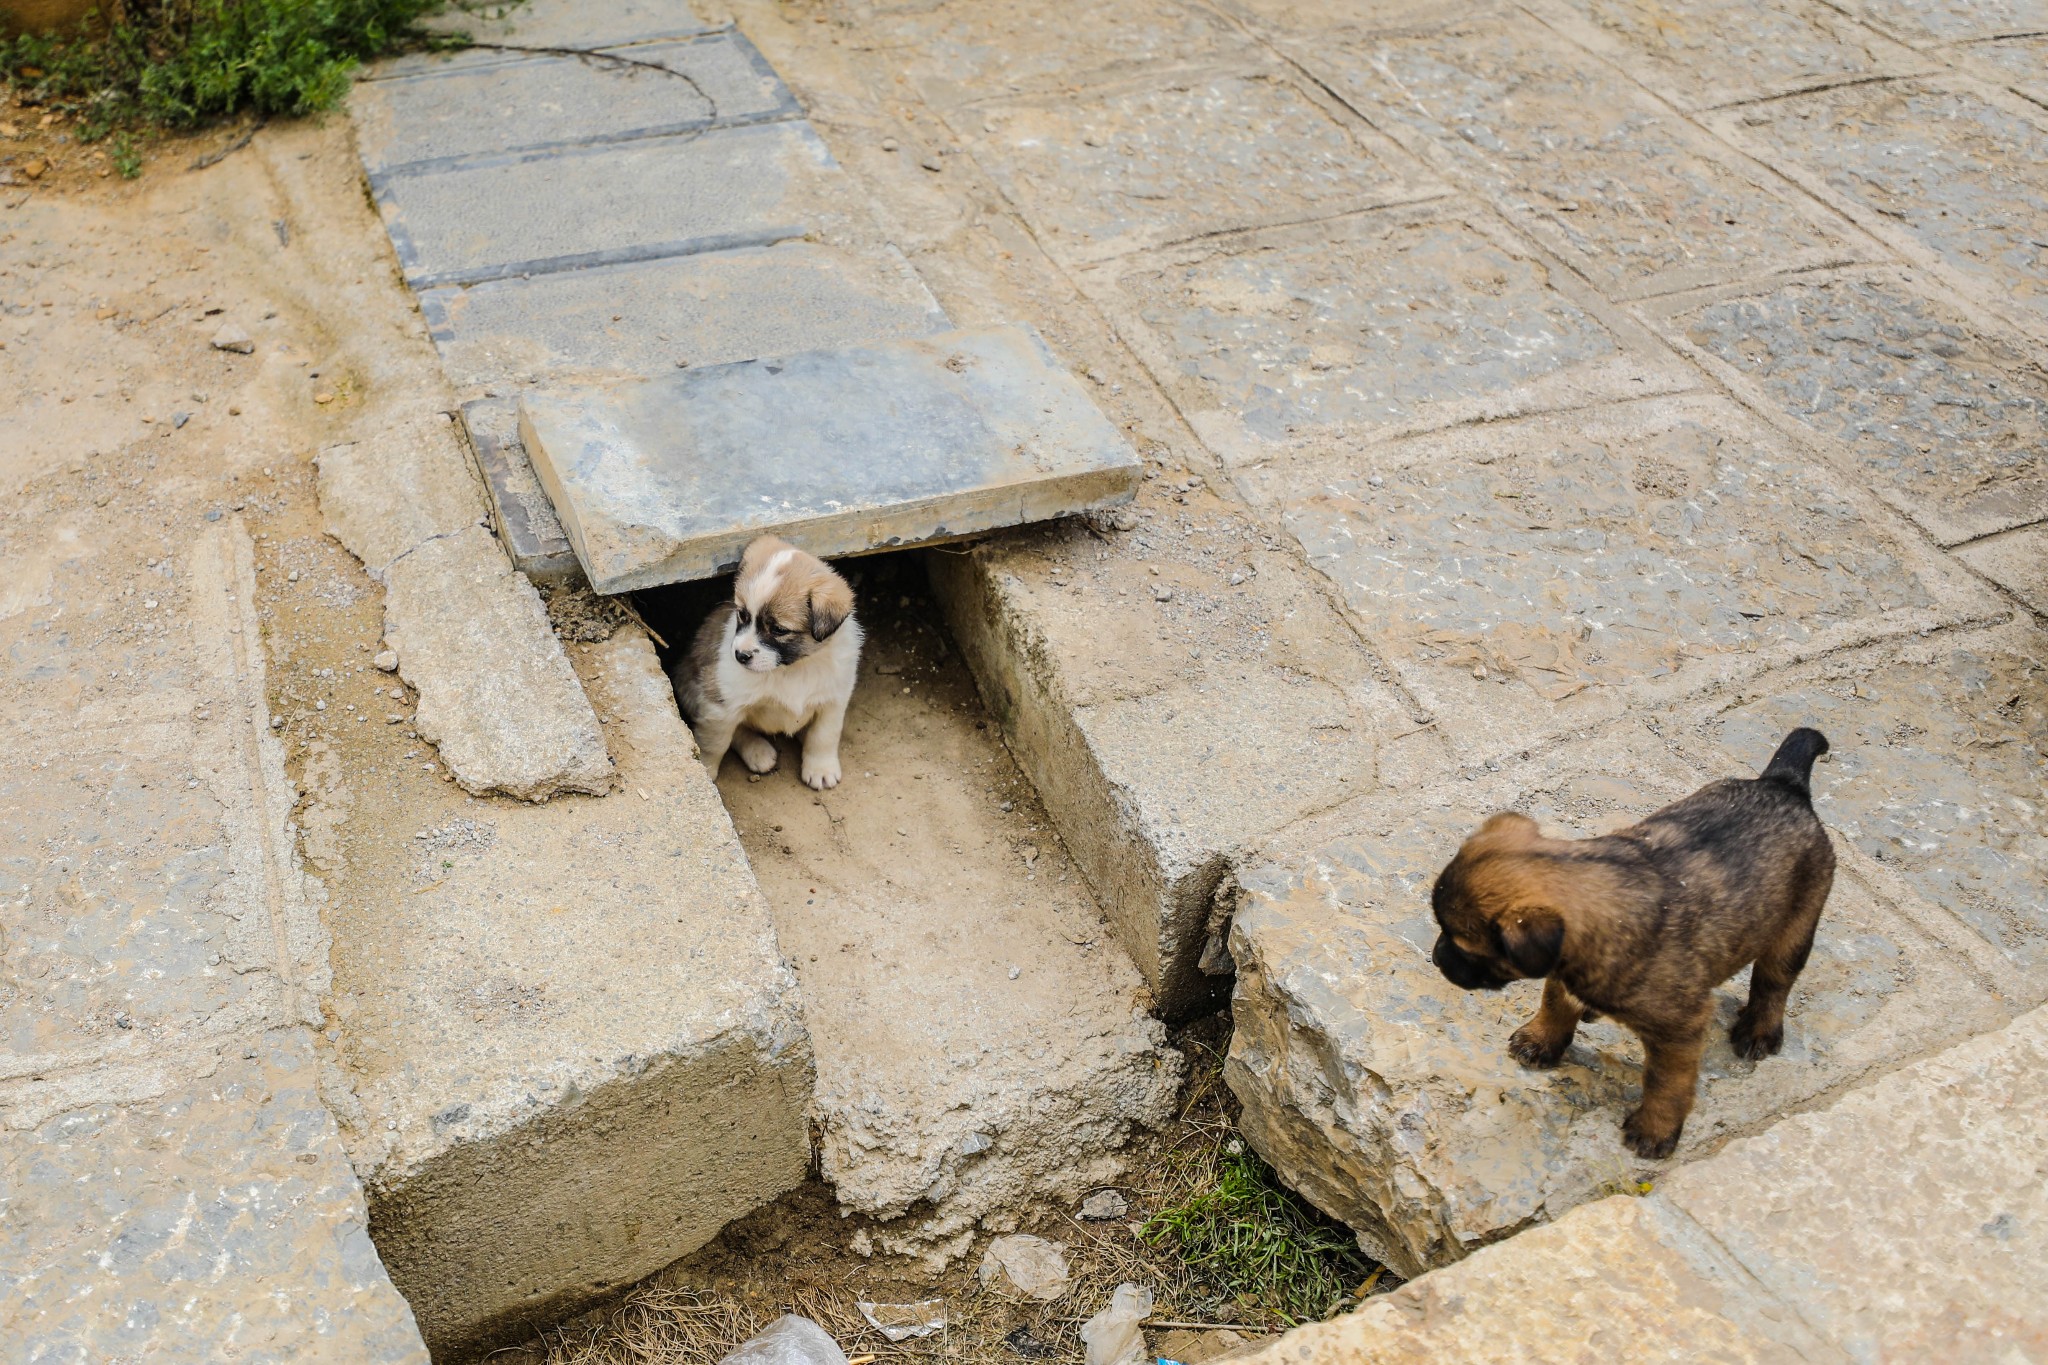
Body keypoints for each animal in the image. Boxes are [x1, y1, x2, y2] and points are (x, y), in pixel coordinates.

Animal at [675, 532, 860, 789]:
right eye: (742, 614)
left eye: (779, 630)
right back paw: (758, 751)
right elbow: (716, 742)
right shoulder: (721, 702)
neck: (793, 668)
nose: (740, 656)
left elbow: (825, 735)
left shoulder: (835, 698)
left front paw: (821, 768)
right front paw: (705, 770)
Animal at [1425, 732, 1843, 1162]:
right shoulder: (1565, 972)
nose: (1436, 958)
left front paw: (1654, 1129)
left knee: (1773, 982)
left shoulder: (1680, 1030)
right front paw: (1541, 1040)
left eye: (1463, 945)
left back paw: (1759, 1030)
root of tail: (1784, 784)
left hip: (1794, 929)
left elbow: (1666, 1084)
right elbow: (1555, 1003)